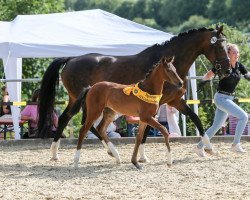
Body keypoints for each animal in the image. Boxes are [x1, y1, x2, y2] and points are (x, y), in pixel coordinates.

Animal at [38, 25, 229, 160]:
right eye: (220, 46)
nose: (227, 70)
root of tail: (71, 59)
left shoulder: (175, 101)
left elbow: (196, 119)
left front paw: (209, 149)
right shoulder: (156, 104)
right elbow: (147, 129)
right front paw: (143, 156)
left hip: (76, 99)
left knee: (67, 119)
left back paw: (56, 153)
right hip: (86, 102)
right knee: (86, 124)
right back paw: (110, 152)